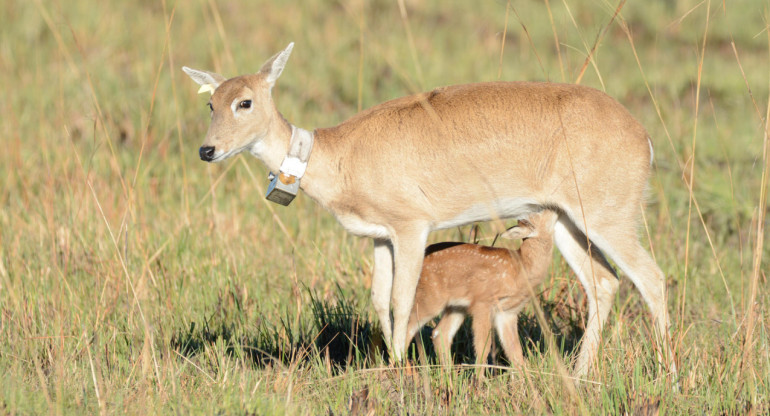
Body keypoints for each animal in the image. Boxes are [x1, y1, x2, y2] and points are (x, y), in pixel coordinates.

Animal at [404, 210, 556, 368]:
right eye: (539, 212)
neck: (521, 267)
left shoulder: (508, 313)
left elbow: (515, 351)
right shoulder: (482, 304)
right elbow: (483, 347)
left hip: (455, 307)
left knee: (440, 333)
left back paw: (448, 372)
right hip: (429, 299)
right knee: (406, 328)